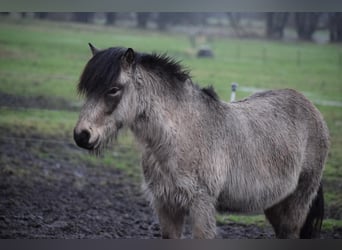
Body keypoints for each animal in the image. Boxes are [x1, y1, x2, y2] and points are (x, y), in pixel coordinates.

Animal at [73, 44, 330, 239]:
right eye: (88, 89)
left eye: (113, 89)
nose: (82, 135)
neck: (180, 136)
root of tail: (312, 109)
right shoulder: (166, 205)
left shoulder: (201, 205)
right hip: (275, 205)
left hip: (296, 203)